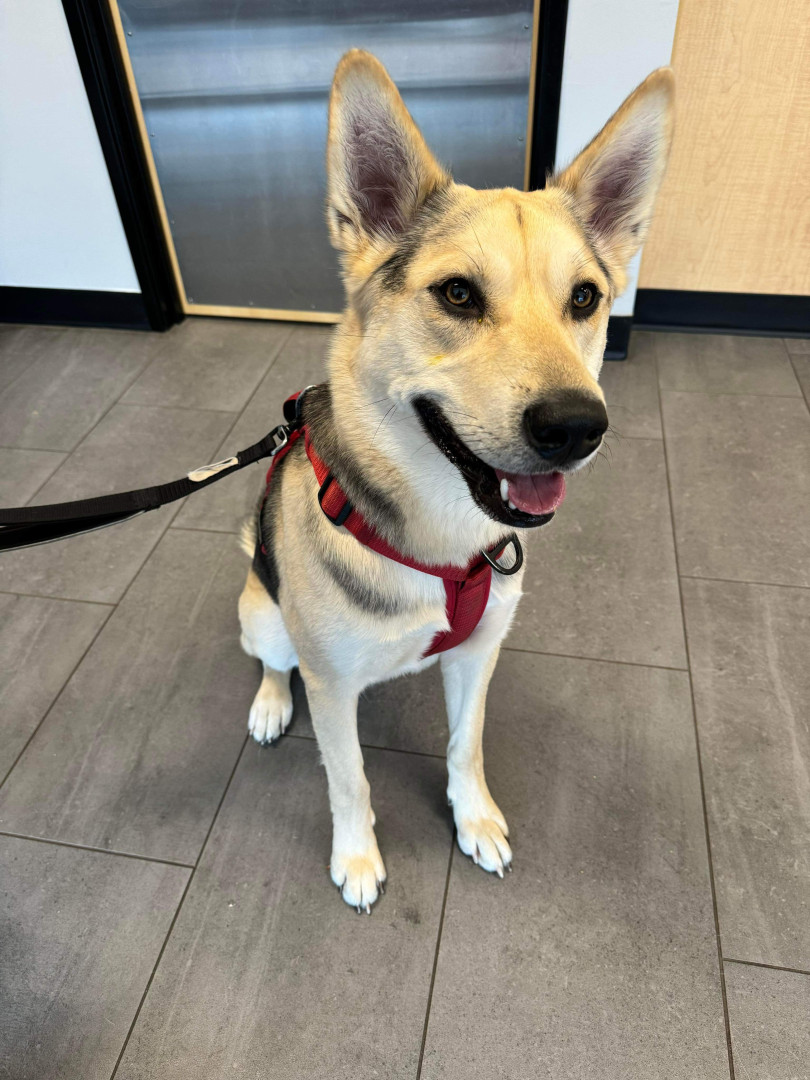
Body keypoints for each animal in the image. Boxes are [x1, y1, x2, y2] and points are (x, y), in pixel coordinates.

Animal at [238, 50, 674, 911]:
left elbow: (465, 746)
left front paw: (473, 820)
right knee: (274, 659)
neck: (442, 533)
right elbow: (349, 778)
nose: (577, 427)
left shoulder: (478, 656)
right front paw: (358, 858)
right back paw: (271, 702)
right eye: (458, 293)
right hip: (262, 614)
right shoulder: (331, 686)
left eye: (586, 298)